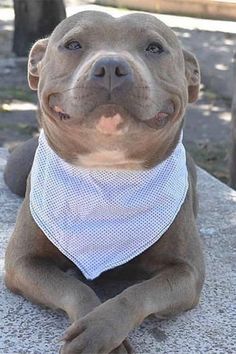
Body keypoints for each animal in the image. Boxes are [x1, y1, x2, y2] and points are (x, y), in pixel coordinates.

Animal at [5, 11, 205, 354]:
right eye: (73, 44)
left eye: (154, 48)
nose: (111, 66)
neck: (108, 170)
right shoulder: (21, 263)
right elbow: (74, 288)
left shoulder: (188, 272)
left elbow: (138, 293)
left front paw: (102, 329)